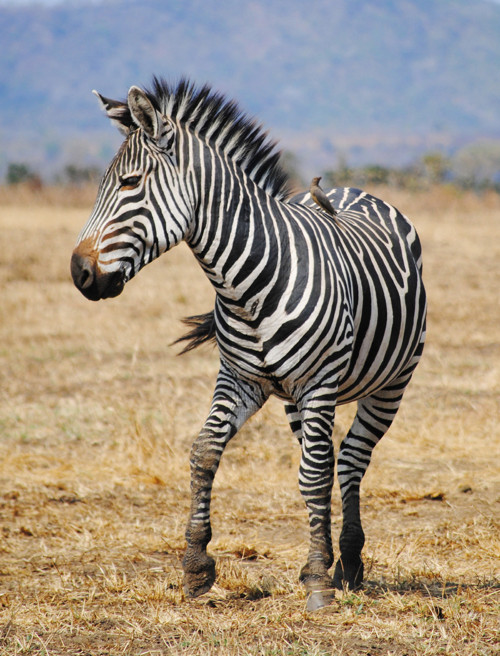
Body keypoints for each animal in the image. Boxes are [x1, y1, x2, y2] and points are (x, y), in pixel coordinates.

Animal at [71, 78, 426, 610]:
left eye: (130, 184)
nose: (79, 273)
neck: (245, 286)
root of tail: (352, 190)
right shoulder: (239, 380)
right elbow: (205, 451)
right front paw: (197, 566)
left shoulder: (319, 382)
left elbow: (315, 474)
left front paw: (318, 580)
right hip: (296, 401)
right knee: (324, 461)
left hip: (390, 384)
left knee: (348, 460)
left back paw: (347, 562)